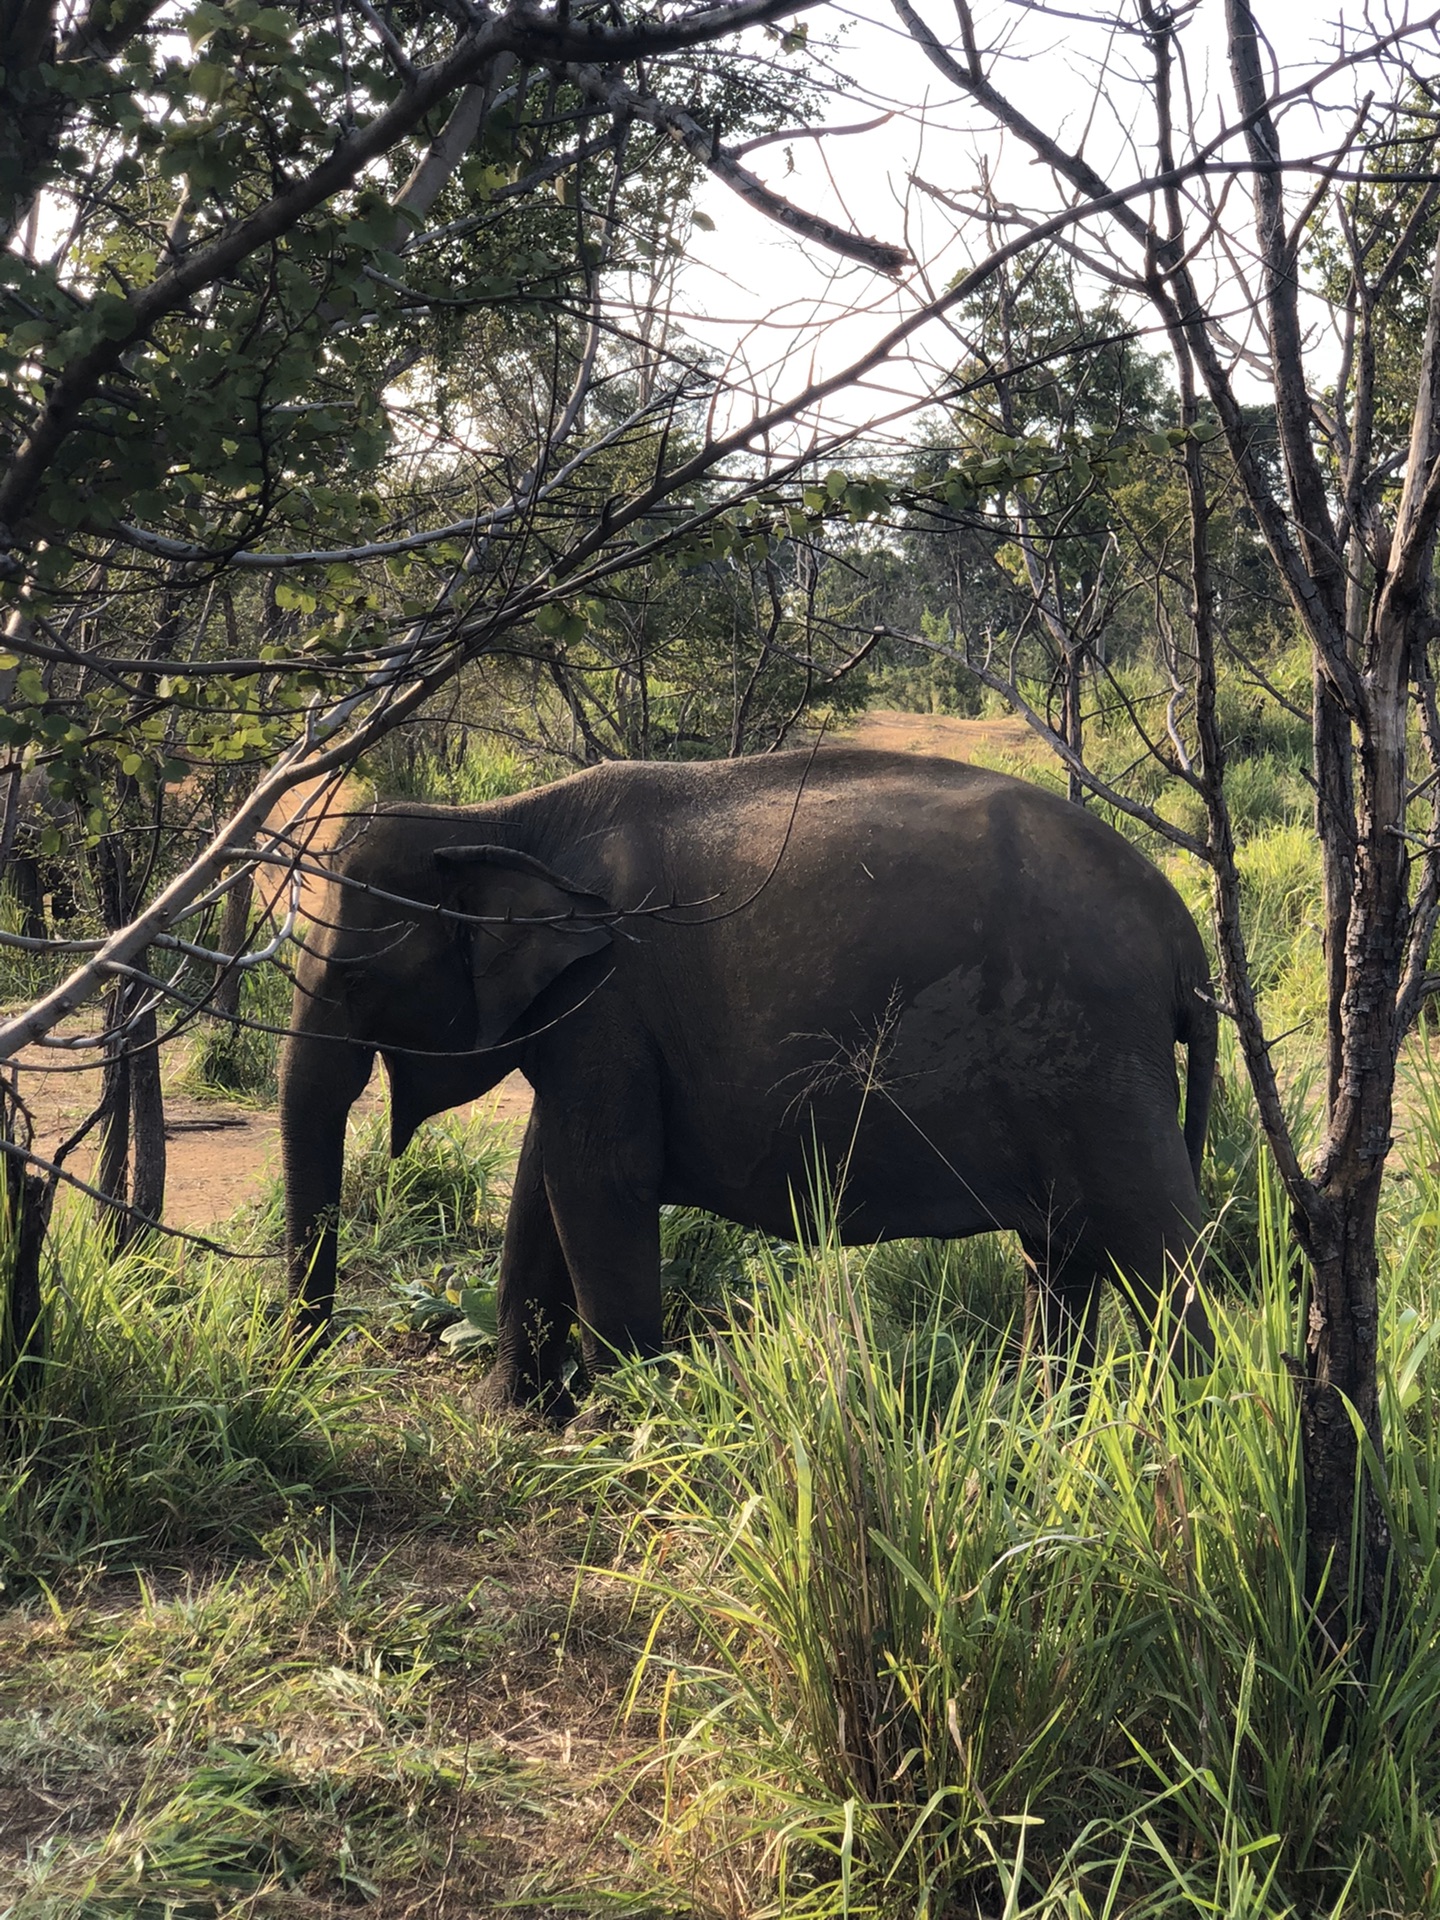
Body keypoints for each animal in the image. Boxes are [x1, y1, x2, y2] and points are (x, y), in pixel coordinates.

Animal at [278, 741, 1221, 1405]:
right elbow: (544, 1180)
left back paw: (1188, 1428)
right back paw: (1052, 1427)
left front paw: (627, 1436)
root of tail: (1186, 943)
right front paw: (514, 1419)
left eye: (355, 980)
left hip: (1098, 1063)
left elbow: (595, 1181)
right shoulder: (587, 1019)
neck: (499, 820)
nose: (309, 1371)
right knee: (1060, 1253)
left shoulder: (608, 997)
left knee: (1158, 1246)